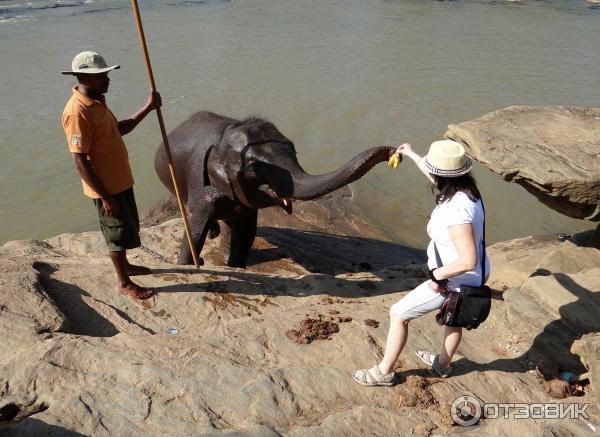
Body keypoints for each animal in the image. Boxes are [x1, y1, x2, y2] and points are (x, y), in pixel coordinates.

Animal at [156, 110, 394, 268]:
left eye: (294, 150)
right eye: (254, 167)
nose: (392, 150)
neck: (226, 135)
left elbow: (245, 232)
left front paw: (232, 266)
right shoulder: (201, 184)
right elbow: (194, 231)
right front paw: (189, 265)